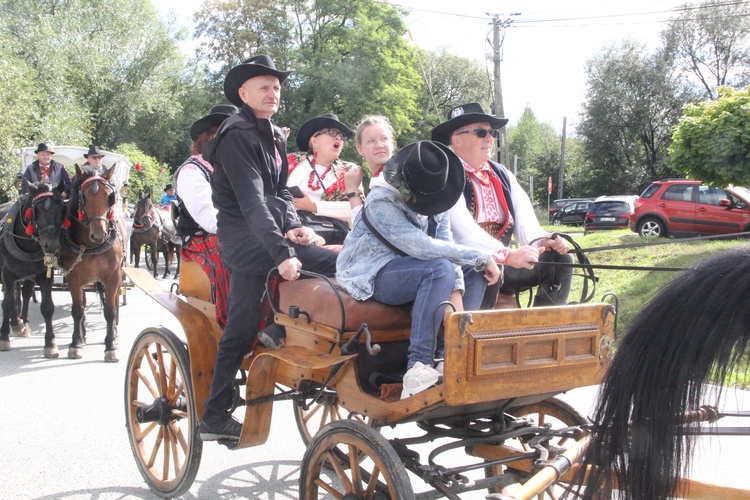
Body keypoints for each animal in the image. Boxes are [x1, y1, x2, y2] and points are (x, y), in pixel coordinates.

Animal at [0, 182, 67, 358]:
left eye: (61, 208)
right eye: (38, 210)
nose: (51, 245)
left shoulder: (44, 275)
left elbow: (47, 307)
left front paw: (50, 344)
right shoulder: (7, 274)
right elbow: (7, 303)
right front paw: (4, 338)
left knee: (24, 292)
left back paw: (21, 322)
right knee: (14, 295)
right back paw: (16, 322)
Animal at [60, 166, 126, 362]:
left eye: (109, 195)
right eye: (84, 195)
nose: (99, 235)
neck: (91, 246)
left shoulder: (112, 277)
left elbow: (110, 311)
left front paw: (110, 346)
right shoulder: (73, 278)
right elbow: (77, 310)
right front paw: (75, 344)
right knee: (82, 305)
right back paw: (82, 336)